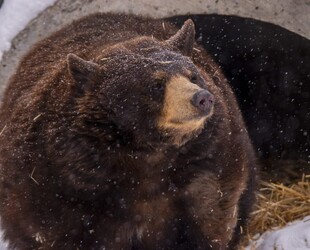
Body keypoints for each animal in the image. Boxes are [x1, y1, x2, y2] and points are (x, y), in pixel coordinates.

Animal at [0, 14, 260, 250]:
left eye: (193, 76)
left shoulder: (206, 168)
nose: (202, 98)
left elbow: (210, 218)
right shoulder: (67, 187)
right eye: (156, 85)